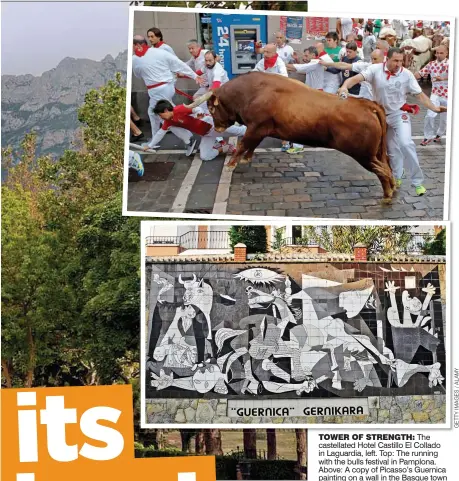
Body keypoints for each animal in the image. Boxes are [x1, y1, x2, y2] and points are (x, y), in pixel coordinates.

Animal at [192, 71, 398, 202]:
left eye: (211, 108)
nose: (218, 127)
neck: (252, 91)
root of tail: (367, 104)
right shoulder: (259, 130)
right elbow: (251, 145)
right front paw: (246, 159)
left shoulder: (255, 127)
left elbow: (244, 144)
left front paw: (231, 164)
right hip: (377, 153)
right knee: (388, 166)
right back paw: (393, 189)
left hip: (364, 155)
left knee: (383, 171)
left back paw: (387, 196)